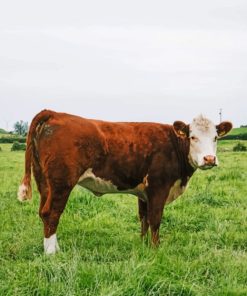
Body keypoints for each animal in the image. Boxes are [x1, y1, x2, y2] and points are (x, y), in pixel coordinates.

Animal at [16, 110, 232, 253]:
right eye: (192, 137)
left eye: (215, 137)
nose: (209, 159)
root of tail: (54, 113)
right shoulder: (159, 187)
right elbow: (155, 219)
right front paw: (156, 249)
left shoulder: (144, 193)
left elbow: (144, 218)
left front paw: (143, 245)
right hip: (61, 182)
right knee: (51, 213)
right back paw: (52, 253)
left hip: (44, 182)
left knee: (43, 213)